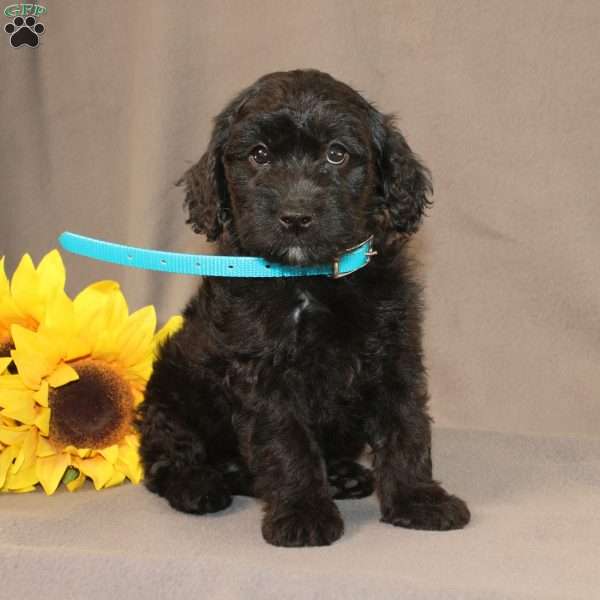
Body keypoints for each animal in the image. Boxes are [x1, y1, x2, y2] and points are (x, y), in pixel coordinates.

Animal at [138, 68, 472, 548]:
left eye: (337, 154)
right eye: (258, 155)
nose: (295, 217)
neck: (312, 280)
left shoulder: (395, 354)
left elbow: (406, 427)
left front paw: (418, 499)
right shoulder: (264, 374)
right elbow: (287, 443)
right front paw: (302, 514)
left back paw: (341, 476)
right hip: (172, 390)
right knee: (167, 456)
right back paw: (198, 484)